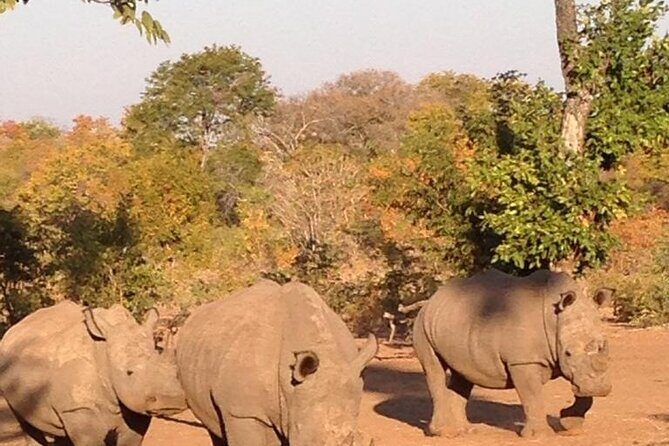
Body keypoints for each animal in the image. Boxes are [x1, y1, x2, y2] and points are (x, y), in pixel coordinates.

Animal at [413, 269, 613, 438]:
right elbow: (533, 396)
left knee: (463, 374)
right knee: (434, 369)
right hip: (422, 324)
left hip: (455, 324)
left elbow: (584, 391)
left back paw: (465, 430)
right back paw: (444, 433)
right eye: (568, 353)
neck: (554, 319)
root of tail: (431, 300)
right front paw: (540, 436)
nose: (600, 389)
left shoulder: (580, 369)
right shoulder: (523, 361)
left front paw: (570, 425)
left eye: (604, 348)